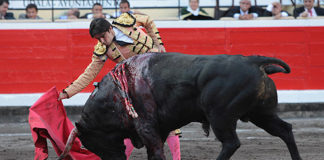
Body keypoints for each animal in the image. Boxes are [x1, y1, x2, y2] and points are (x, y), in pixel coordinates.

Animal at [73, 52, 302, 159]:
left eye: (88, 142)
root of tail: (252, 61)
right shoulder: (160, 128)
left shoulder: (146, 126)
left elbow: (156, 151)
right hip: (261, 114)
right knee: (285, 130)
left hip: (220, 117)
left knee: (231, 143)